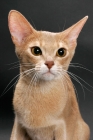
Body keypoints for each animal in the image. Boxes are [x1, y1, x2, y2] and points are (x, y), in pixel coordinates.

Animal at [8, 10, 89, 140]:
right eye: (36, 51)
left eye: (61, 52)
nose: (50, 63)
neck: (40, 91)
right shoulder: (18, 124)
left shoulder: (62, 128)